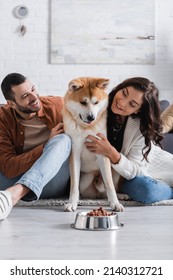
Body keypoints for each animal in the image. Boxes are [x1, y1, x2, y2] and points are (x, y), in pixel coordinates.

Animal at [62, 76, 123, 212]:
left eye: (96, 102)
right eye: (83, 102)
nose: (91, 117)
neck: (86, 129)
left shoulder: (103, 152)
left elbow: (109, 184)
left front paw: (115, 203)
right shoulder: (74, 153)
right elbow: (74, 186)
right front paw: (72, 203)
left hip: (115, 168)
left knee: (106, 190)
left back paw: (122, 196)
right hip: (87, 178)